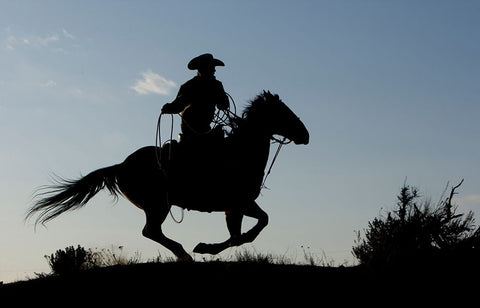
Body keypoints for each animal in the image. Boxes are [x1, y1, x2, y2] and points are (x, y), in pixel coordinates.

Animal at [28, 91, 310, 260]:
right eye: (283, 111)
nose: (305, 135)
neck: (240, 152)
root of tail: (121, 165)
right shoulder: (239, 203)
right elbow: (249, 230)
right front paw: (205, 247)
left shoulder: (236, 206)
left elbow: (242, 233)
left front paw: (208, 247)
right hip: (157, 205)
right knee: (151, 231)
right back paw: (183, 253)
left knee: (152, 232)